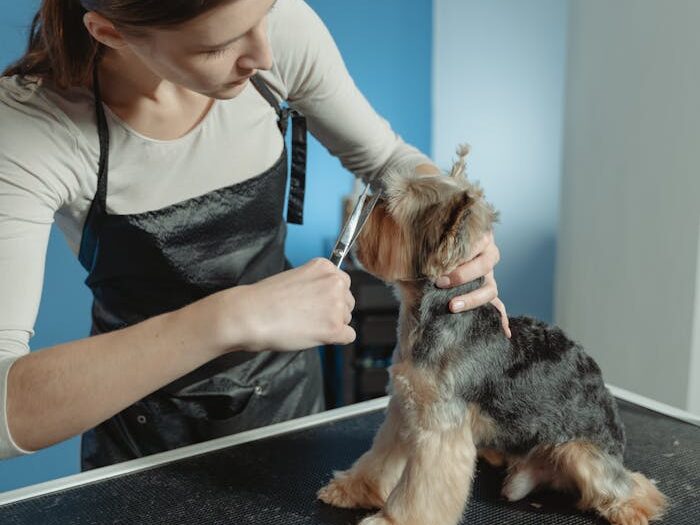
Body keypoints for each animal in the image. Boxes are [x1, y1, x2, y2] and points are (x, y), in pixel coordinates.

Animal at [318, 144, 668, 524]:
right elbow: (379, 458)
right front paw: (352, 489)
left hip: (581, 452)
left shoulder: (440, 427)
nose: (365, 200)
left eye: (390, 207)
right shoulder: (404, 411)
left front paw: (394, 519)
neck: (431, 317)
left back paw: (632, 507)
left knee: (632, 485)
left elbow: (421, 490)